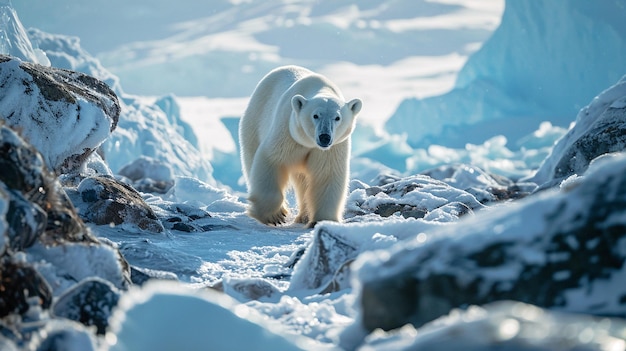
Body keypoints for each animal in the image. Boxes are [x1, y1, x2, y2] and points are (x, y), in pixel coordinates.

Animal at [239, 65, 360, 228]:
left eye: (337, 118)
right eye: (315, 115)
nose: (324, 137)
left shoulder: (333, 147)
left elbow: (327, 175)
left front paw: (320, 220)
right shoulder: (288, 131)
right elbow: (272, 160)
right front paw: (274, 215)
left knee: (303, 181)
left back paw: (303, 216)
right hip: (254, 120)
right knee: (251, 159)